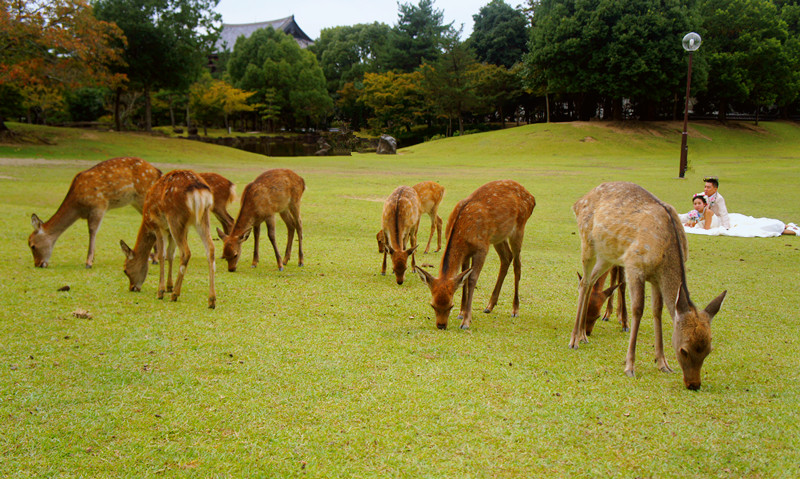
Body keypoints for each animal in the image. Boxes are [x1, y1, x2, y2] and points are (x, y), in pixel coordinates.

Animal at [28, 158, 162, 268]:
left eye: (32, 245)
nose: (38, 264)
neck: (78, 207)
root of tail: (158, 172)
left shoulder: (98, 205)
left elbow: (92, 231)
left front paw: (88, 262)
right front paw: (93, 258)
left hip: (143, 196)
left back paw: (156, 258)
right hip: (136, 201)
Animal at [117, 171, 217, 310]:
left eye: (125, 270)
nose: (132, 287)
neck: (146, 222)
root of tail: (199, 191)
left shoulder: (157, 225)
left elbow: (162, 255)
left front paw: (161, 291)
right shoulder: (176, 230)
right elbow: (170, 254)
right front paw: (169, 286)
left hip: (175, 217)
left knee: (186, 252)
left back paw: (175, 294)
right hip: (202, 217)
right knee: (210, 248)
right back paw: (211, 300)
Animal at [412, 180, 536, 330]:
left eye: (451, 305)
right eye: (432, 305)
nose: (441, 325)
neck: (463, 232)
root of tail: (532, 198)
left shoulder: (481, 248)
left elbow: (471, 279)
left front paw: (466, 321)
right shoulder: (466, 253)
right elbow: (463, 279)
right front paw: (461, 313)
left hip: (518, 229)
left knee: (517, 264)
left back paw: (515, 310)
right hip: (498, 237)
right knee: (507, 257)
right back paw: (489, 306)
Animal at [568, 182, 724, 392]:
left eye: (708, 350)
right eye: (684, 350)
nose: (693, 384)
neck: (665, 250)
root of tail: (578, 202)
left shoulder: (656, 279)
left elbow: (657, 311)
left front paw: (663, 364)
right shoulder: (634, 265)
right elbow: (638, 309)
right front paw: (630, 366)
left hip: (607, 255)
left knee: (591, 281)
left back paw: (584, 335)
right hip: (588, 243)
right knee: (583, 283)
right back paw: (574, 340)